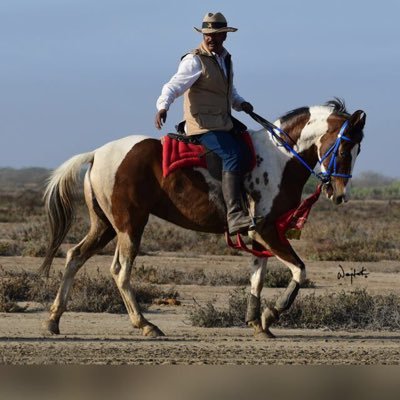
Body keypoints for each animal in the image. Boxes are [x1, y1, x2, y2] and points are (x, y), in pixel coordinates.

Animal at [39, 99, 366, 338]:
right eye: (344, 148)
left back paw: (54, 319)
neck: (279, 157)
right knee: (119, 271)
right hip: (130, 225)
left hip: (105, 225)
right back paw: (146, 325)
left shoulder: (257, 234)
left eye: (358, 149)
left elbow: (257, 277)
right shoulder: (268, 230)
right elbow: (299, 270)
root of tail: (97, 153)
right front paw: (271, 313)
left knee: (74, 256)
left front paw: (256, 322)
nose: (339, 193)